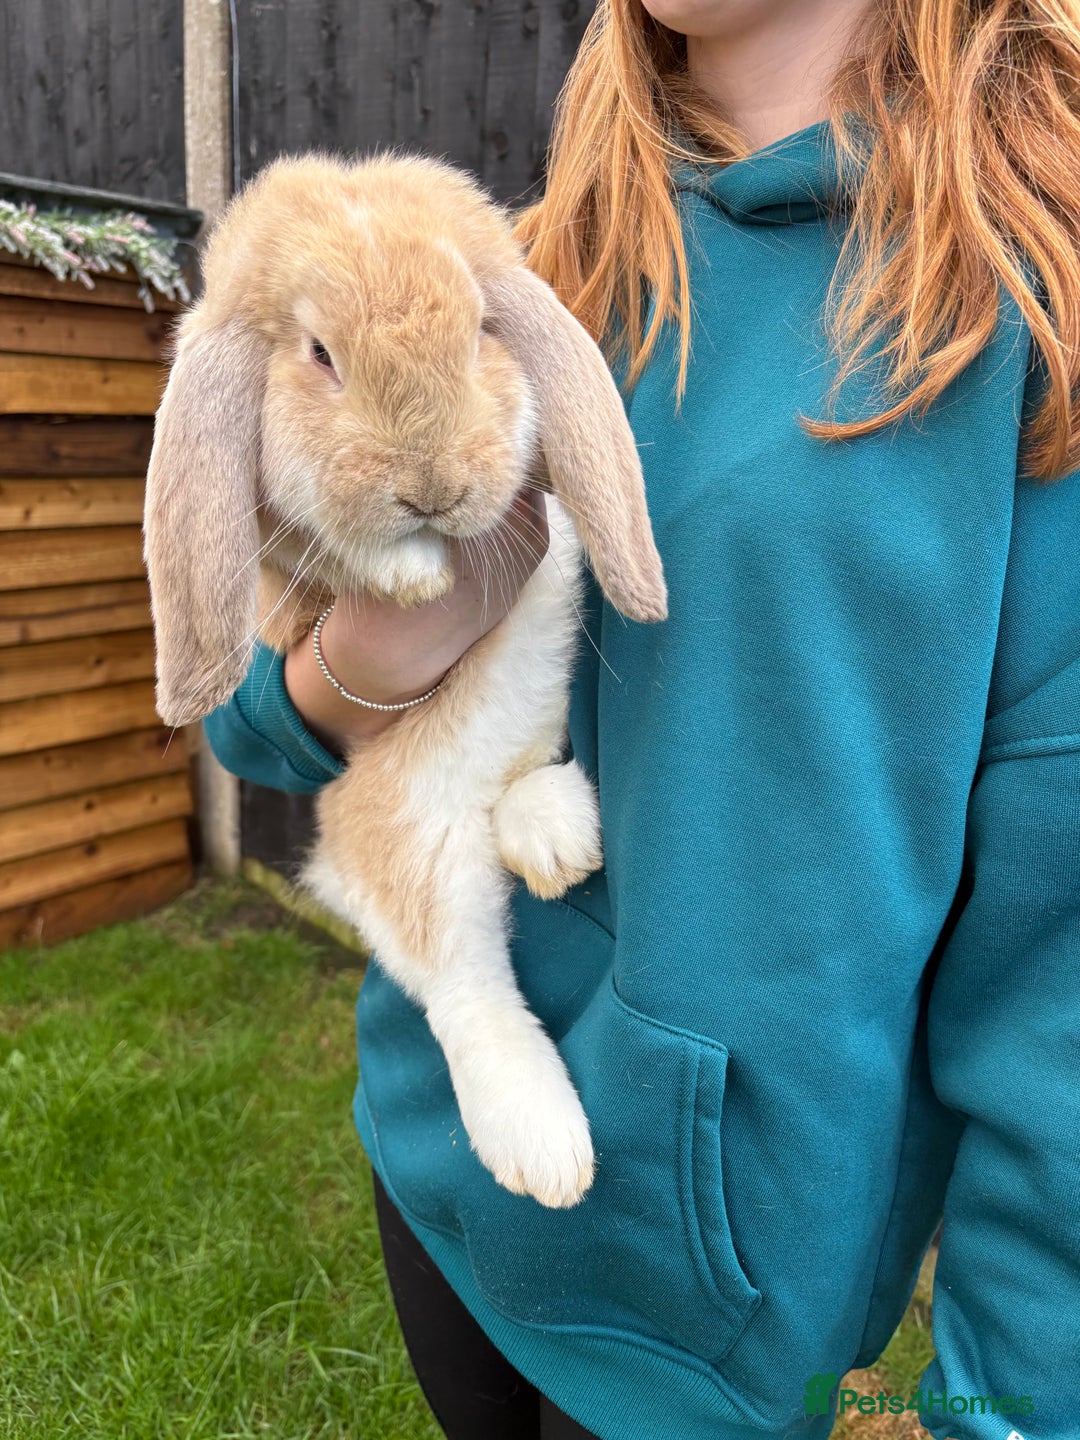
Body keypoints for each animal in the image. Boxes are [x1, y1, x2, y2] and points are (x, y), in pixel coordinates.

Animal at [143, 152, 667, 1208]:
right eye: (319, 354)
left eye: (480, 332)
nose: (434, 488)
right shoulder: (288, 571)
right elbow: (344, 559)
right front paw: (414, 574)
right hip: (413, 823)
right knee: (461, 983)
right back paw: (545, 1151)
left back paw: (554, 833)